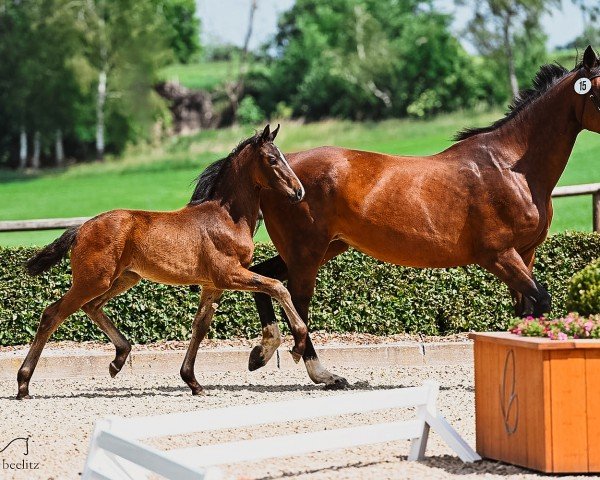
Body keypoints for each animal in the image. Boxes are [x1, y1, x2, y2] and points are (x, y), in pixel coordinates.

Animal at [18, 124, 304, 398]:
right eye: (272, 159)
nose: (299, 191)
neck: (226, 218)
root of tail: (80, 229)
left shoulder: (212, 285)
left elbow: (200, 326)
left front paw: (193, 382)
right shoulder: (229, 274)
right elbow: (277, 286)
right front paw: (295, 345)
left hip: (124, 278)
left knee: (91, 307)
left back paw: (118, 359)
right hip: (93, 281)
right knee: (53, 314)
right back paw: (23, 385)